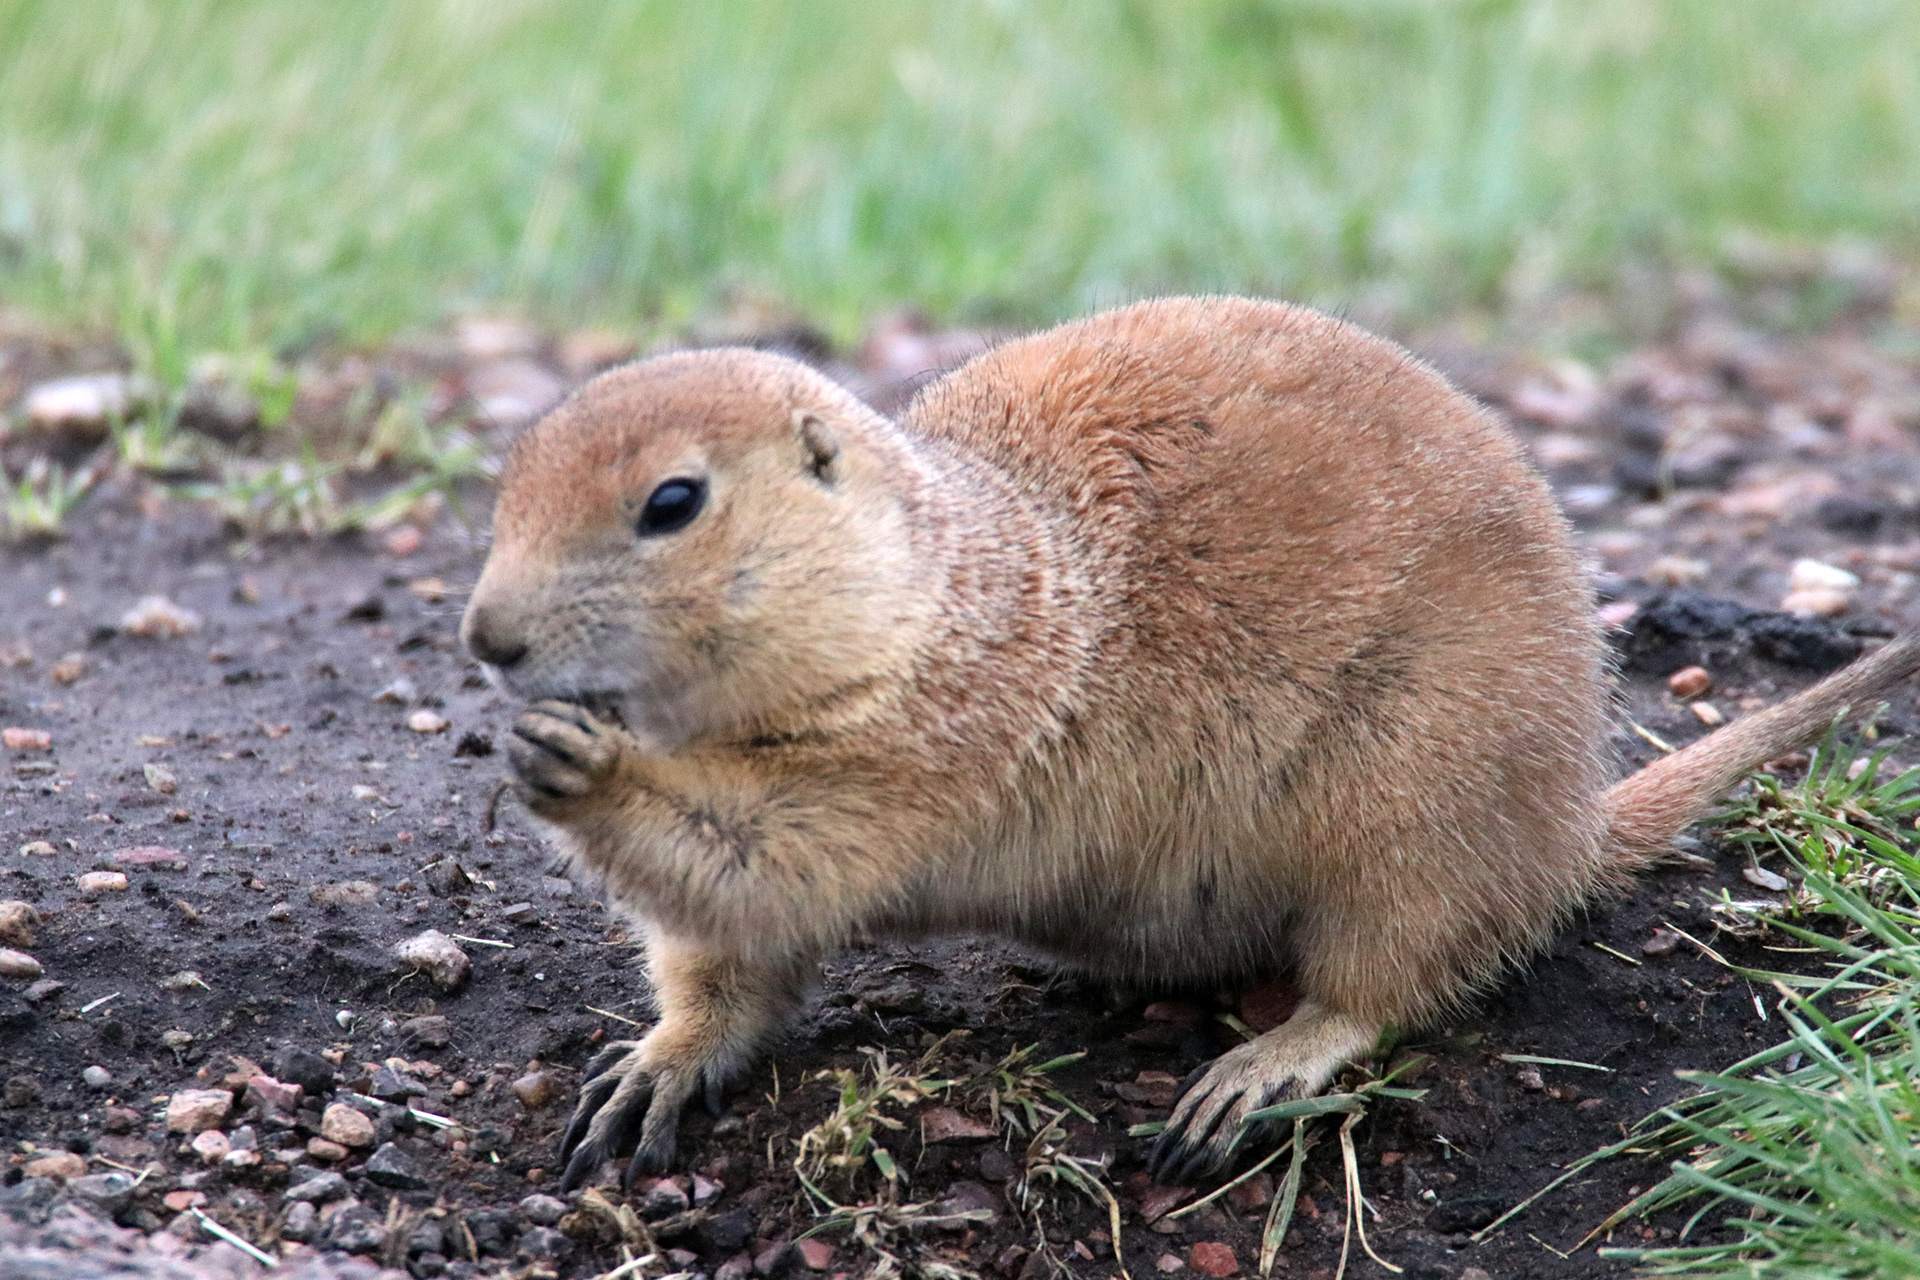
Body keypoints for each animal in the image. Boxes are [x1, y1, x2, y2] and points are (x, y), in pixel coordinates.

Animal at [460, 296, 1920, 1190]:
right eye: (509, 477)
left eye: (672, 502)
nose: (486, 639)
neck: (939, 581)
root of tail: (1571, 823)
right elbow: (728, 957)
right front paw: (650, 1070)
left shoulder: (946, 726)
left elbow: (782, 851)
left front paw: (582, 764)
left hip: (1417, 805)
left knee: (1396, 979)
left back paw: (1256, 1070)